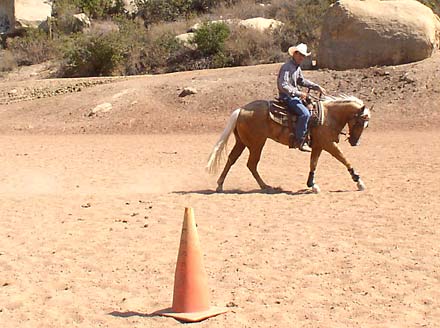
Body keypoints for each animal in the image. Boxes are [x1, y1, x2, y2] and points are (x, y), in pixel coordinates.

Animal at [207, 95, 372, 192]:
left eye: (366, 125)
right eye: (360, 122)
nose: (355, 142)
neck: (328, 116)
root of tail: (241, 110)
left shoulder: (318, 145)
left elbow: (313, 164)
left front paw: (312, 184)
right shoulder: (328, 144)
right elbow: (344, 159)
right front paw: (359, 181)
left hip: (242, 142)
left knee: (232, 159)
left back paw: (221, 185)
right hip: (256, 144)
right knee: (251, 164)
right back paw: (265, 186)